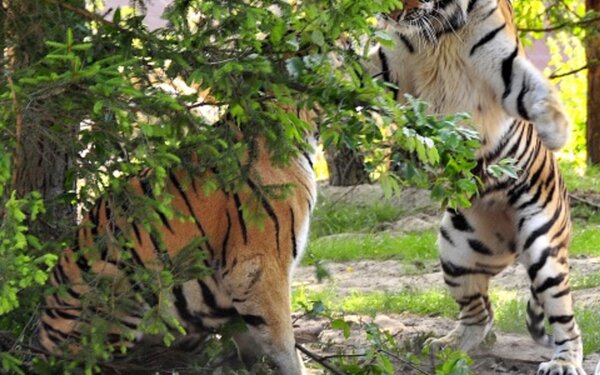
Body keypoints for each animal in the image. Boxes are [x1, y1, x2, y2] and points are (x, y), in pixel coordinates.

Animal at [366, 0, 584, 375]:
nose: (391, 16)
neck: (437, 30)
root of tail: (514, 244)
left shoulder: (503, 64)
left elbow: (535, 91)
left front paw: (556, 133)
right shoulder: (389, 61)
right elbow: (349, 66)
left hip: (544, 249)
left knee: (566, 322)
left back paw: (563, 362)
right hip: (456, 251)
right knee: (480, 314)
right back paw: (446, 347)